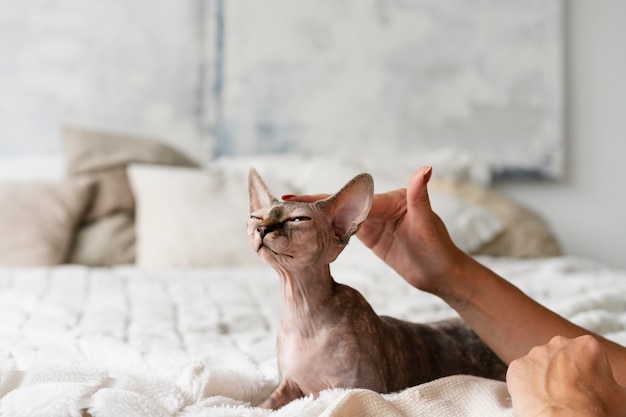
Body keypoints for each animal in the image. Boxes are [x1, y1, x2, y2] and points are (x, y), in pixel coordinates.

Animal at [246, 167, 504, 408]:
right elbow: (262, 406)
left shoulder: (350, 387)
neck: (302, 314)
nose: (262, 229)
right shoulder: (289, 386)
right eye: (256, 217)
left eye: (298, 220)